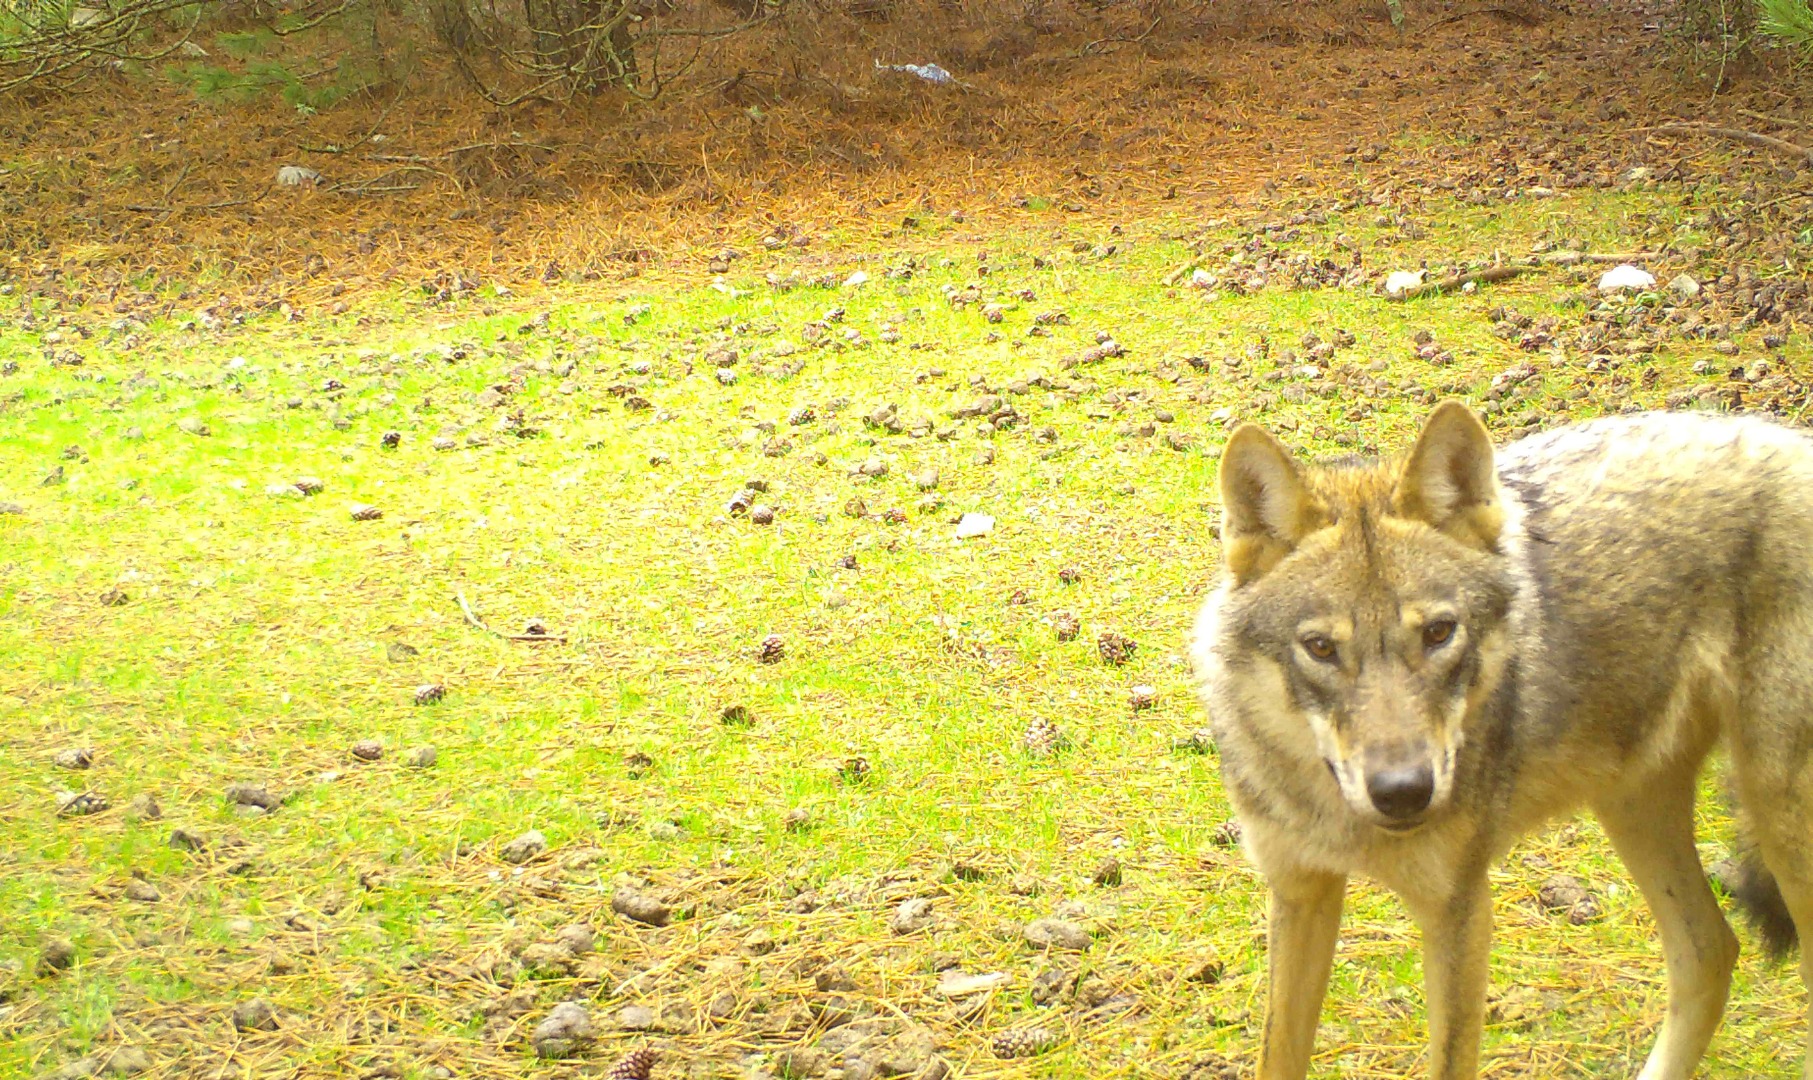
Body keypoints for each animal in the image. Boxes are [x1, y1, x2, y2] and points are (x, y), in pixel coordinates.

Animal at [1182, 400, 1813, 1072]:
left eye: (1439, 633)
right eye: (1321, 648)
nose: (1403, 792)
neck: (1340, 819)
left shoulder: (1458, 909)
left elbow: (1450, 1062)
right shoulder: (1300, 889)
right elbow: (1279, 1056)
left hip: (1782, 832)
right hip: (1632, 803)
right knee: (1711, 950)